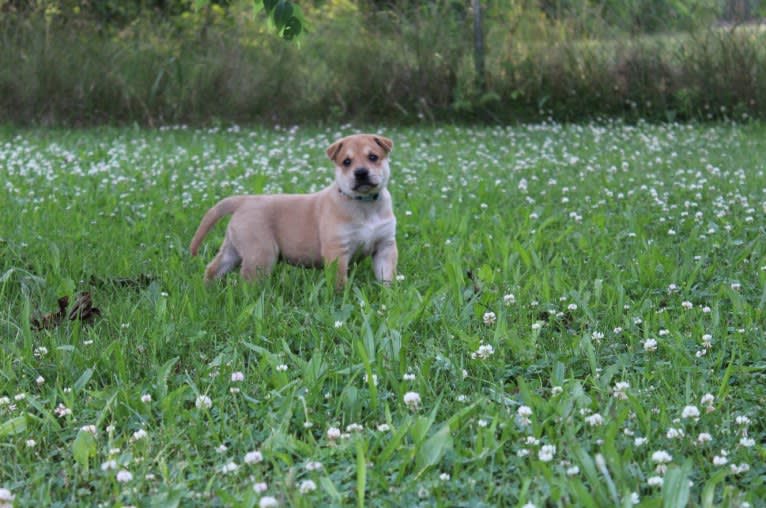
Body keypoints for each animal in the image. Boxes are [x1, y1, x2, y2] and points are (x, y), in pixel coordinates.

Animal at [189, 133, 400, 288]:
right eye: (346, 162)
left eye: (373, 157)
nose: (361, 172)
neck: (366, 205)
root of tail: (244, 201)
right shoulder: (337, 250)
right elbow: (339, 281)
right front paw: (341, 300)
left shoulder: (385, 246)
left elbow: (386, 275)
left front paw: (388, 295)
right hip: (261, 253)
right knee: (248, 281)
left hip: (234, 248)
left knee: (214, 268)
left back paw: (207, 289)